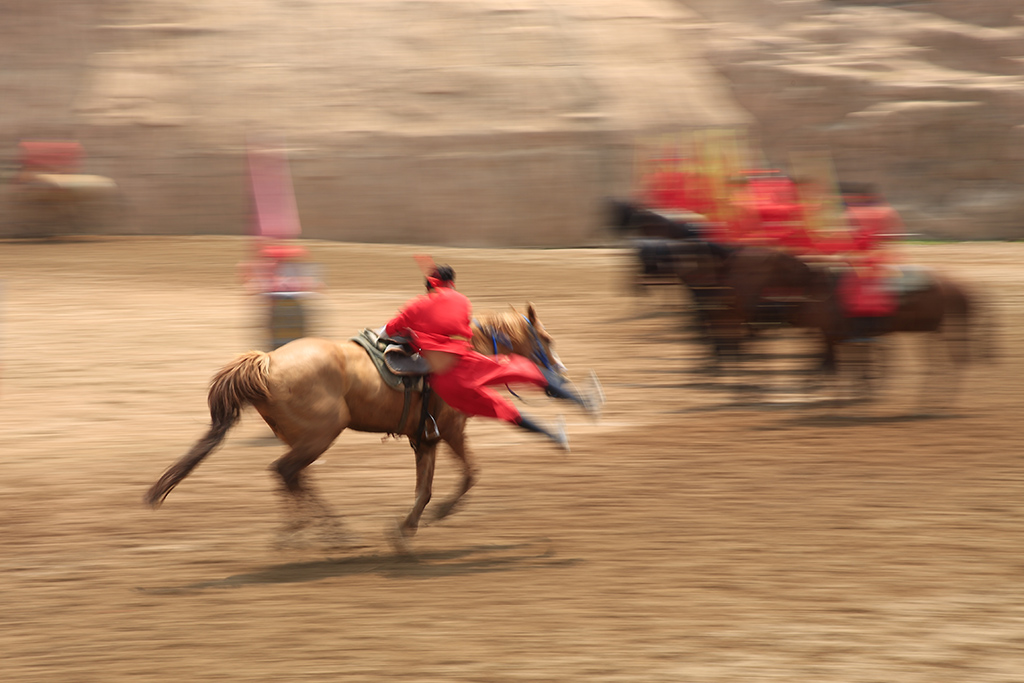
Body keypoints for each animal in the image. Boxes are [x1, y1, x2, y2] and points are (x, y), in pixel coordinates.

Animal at [145, 305, 581, 548]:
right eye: (545, 337)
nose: (561, 373)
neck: (462, 355)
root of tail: (267, 362)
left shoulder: (425, 438)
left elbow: (424, 488)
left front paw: (407, 528)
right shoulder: (451, 429)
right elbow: (469, 475)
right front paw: (436, 515)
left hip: (303, 438)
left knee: (295, 477)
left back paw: (329, 531)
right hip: (320, 435)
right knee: (285, 472)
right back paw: (302, 532)